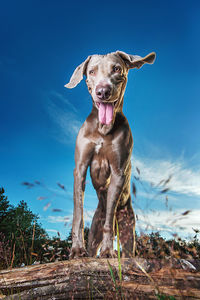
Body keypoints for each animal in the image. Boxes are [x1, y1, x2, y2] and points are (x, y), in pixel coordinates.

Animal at [65, 49, 155, 258]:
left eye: (116, 69)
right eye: (91, 71)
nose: (103, 91)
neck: (103, 129)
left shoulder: (118, 172)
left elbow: (109, 219)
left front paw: (107, 250)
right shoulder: (80, 169)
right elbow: (78, 214)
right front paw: (76, 249)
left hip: (128, 230)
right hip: (94, 230)